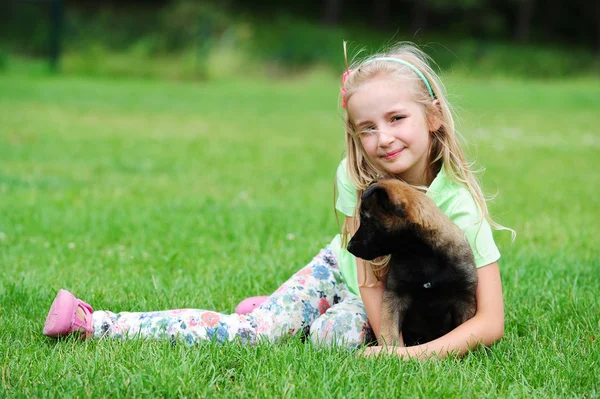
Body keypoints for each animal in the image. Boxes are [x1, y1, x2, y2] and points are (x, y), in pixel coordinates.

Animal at [346, 180, 478, 348]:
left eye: (366, 220)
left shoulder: (464, 299)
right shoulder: (395, 296)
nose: (349, 247)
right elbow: (389, 332)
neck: (421, 255)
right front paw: (389, 351)